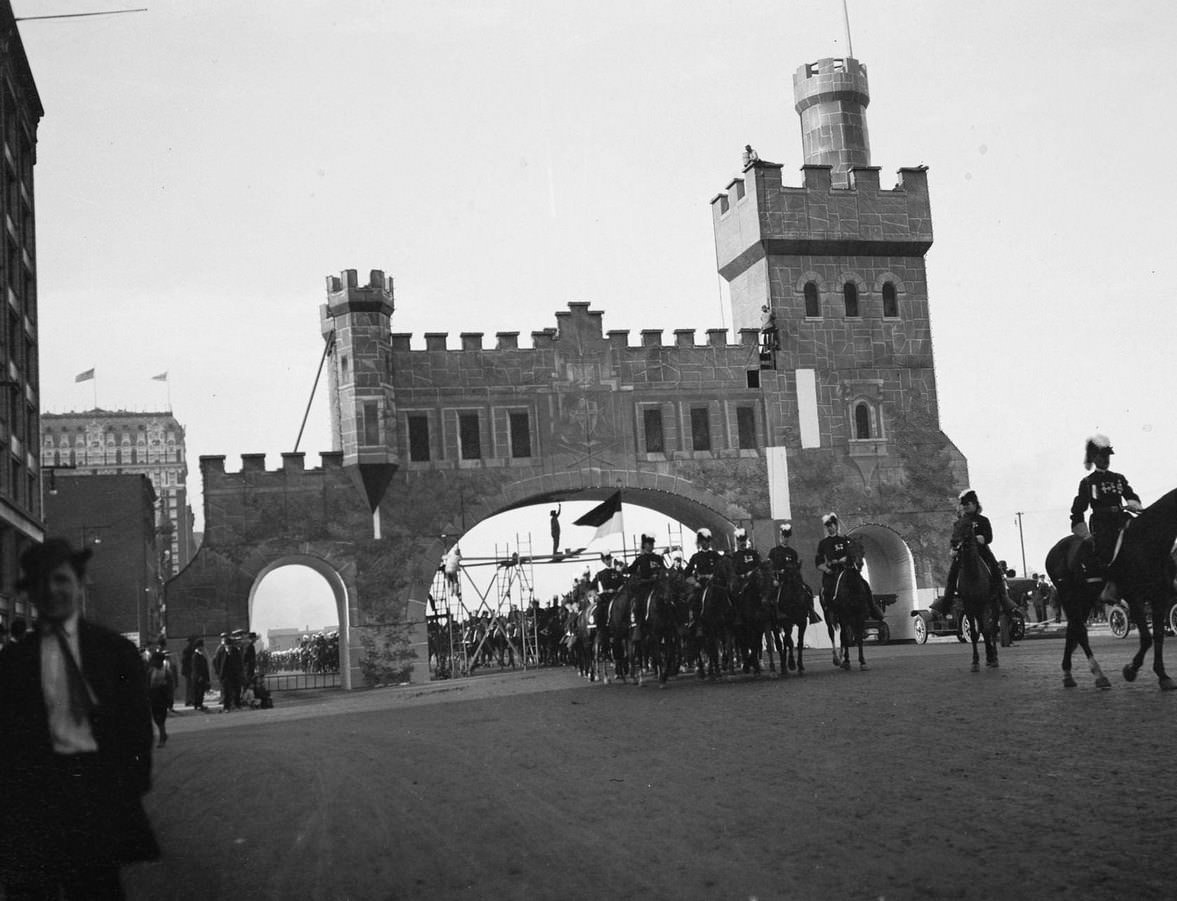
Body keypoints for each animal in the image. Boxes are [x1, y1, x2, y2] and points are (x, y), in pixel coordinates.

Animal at [951, 515, 998, 668]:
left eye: (967, 525)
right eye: (954, 525)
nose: (953, 541)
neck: (973, 574)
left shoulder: (985, 603)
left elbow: (987, 630)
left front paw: (991, 657)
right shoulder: (968, 606)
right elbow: (973, 632)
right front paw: (975, 660)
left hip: (994, 605)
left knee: (992, 628)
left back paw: (994, 655)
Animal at [1049, 536, 1111, 691]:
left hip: (1084, 600)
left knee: (1073, 628)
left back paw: (1068, 672)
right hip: (1070, 593)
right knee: (1078, 628)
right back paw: (1098, 674)